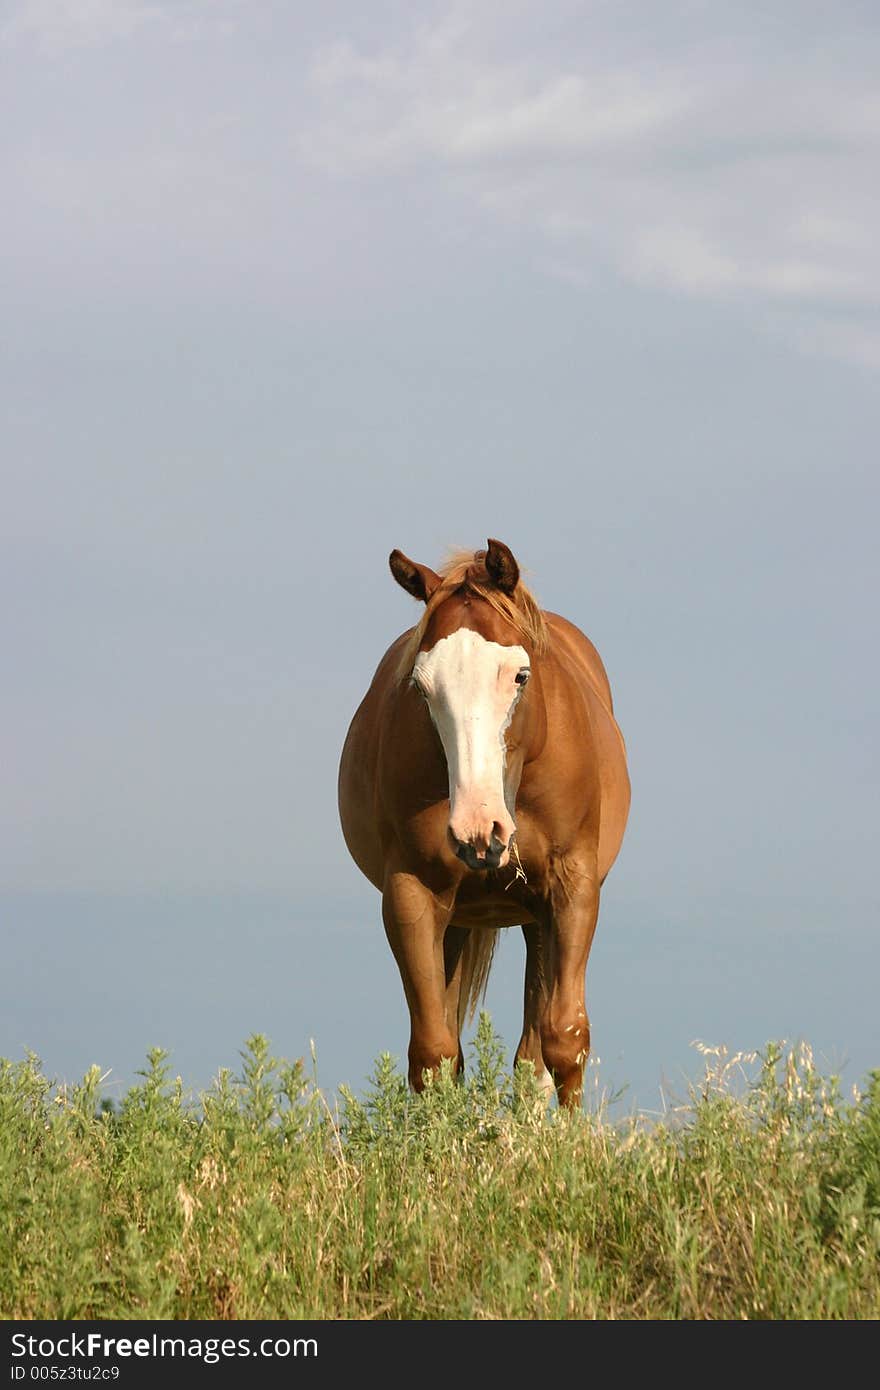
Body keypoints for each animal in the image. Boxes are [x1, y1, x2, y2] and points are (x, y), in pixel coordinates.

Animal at [332, 539, 628, 1106]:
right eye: (422, 687)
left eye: (519, 676)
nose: (478, 830)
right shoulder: (411, 892)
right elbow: (434, 1053)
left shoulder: (573, 888)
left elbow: (565, 1040)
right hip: (452, 920)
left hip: (537, 918)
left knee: (534, 1053)